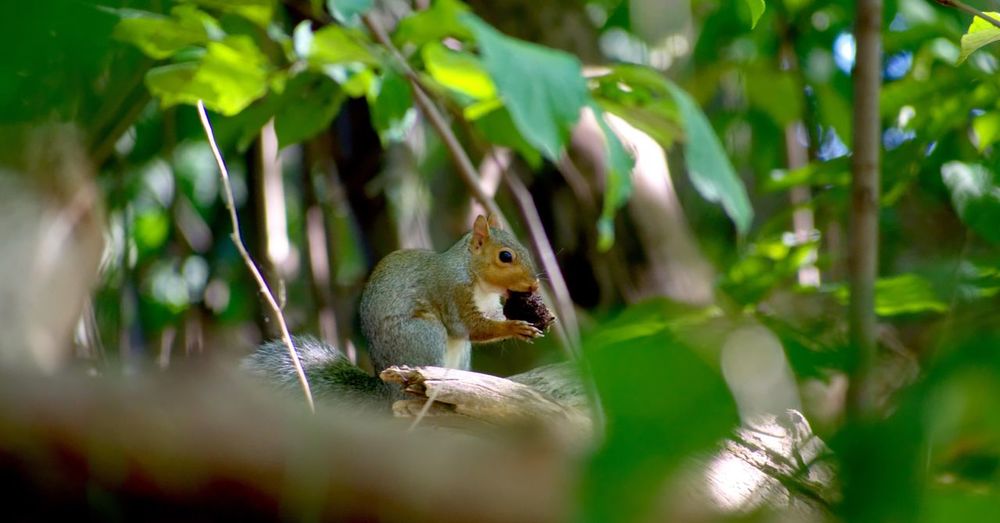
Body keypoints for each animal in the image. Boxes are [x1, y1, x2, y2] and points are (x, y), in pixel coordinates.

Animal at [244, 214, 546, 405]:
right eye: (505, 256)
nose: (534, 284)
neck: (478, 281)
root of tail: (386, 390)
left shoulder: (490, 305)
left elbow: (490, 320)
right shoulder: (452, 293)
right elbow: (472, 326)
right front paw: (515, 327)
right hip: (424, 334)